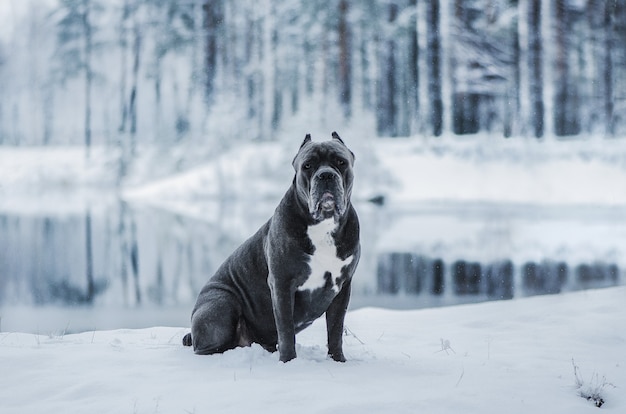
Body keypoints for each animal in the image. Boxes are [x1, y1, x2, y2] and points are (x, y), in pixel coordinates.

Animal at [180, 133, 358, 362]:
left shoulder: (343, 287)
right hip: (220, 305)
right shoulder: (282, 284)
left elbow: (335, 329)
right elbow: (286, 329)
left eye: (341, 162)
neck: (324, 225)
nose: (326, 175)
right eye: (308, 165)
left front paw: (338, 360)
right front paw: (288, 361)